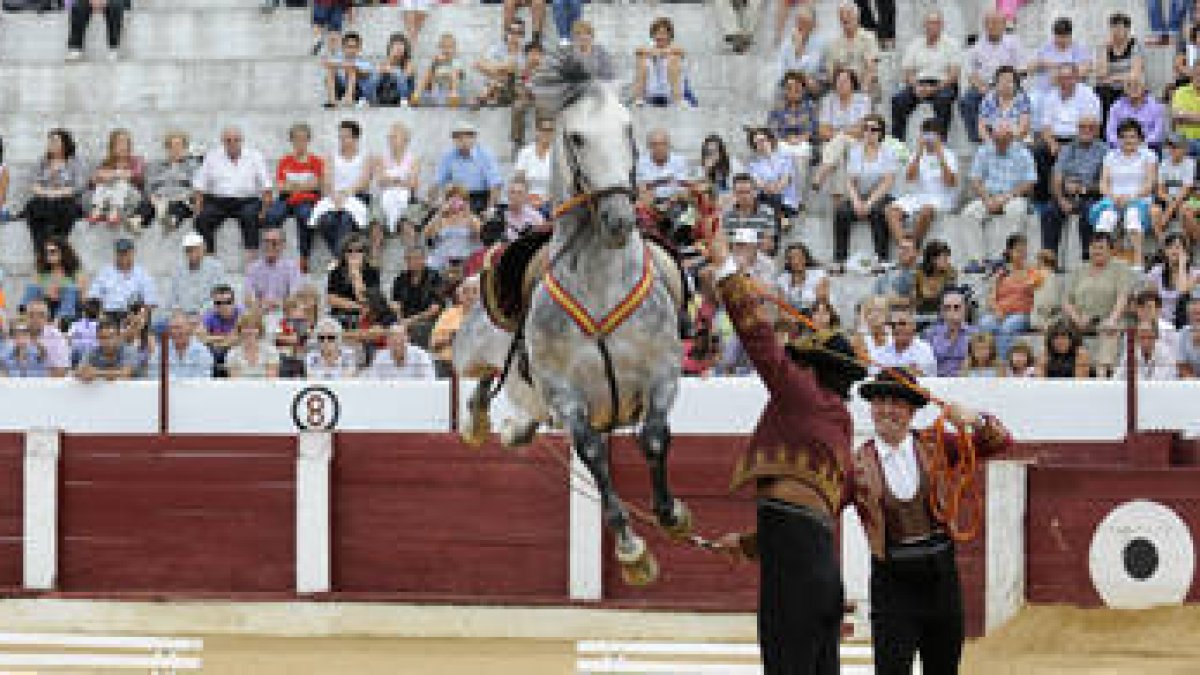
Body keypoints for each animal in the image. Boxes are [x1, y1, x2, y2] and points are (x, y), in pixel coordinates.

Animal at [452, 50, 690, 585]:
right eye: (577, 137)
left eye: (628, 129)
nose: (620, 221)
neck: (601, 283)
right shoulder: (565, 392)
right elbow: (594, 454)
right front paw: (632, 552)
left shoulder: (664, 370)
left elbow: (654, 438)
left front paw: (672, 514)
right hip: (476, 344)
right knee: (481, 377)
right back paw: (481, 423)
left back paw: (511, 429)